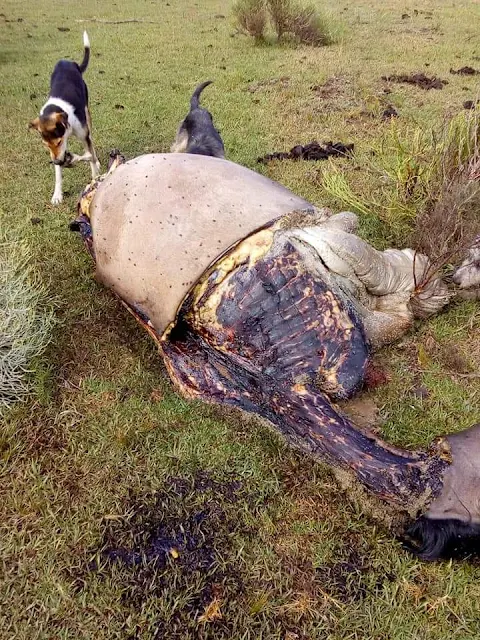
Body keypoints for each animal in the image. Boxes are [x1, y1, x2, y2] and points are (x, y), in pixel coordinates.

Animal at [29, 31, 100, 205]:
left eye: (59, 141)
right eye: (45, 145)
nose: (57, 162)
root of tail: (69, 62)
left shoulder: (81, 136)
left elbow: (90, 155)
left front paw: (95, 176)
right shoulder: (56, 153)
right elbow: (58, 174)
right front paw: (57, 194)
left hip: (87, 115)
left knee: (91, 143)